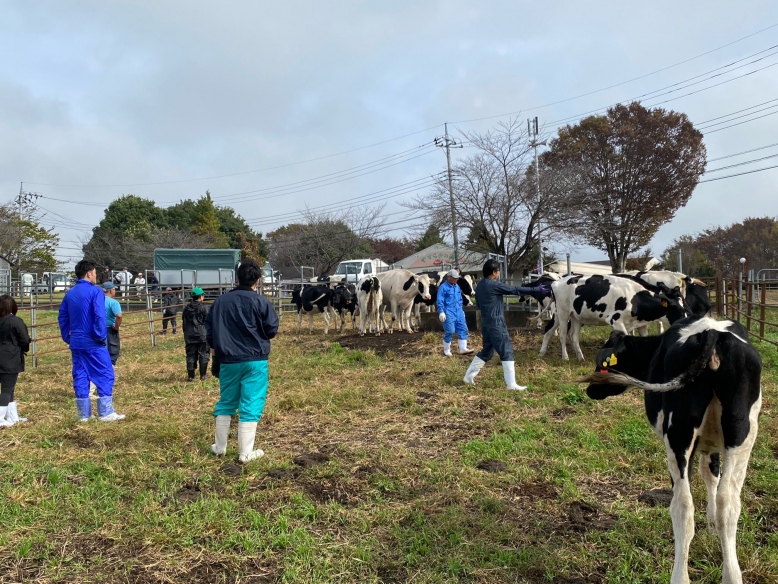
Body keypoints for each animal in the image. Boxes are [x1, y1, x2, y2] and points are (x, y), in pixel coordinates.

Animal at [540, 274, 684, 360]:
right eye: (677, 309)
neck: (634, 298)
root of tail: (556, 282)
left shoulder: (640, 323)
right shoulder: (615, 320)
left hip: (576, 316)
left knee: (572, 335)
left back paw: (579, 358)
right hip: (562, 313)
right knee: (562, 334)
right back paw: (564, 357)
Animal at [580, 318, 760, 580]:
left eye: (602, 364)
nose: (591, 390)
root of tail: (711, 334)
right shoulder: (712, 446)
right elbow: (712, 477)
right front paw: (712, 526)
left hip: (678, 435)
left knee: (682, 506)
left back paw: (680, 576)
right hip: (742, 434)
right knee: (728, 503)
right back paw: (732, 575)